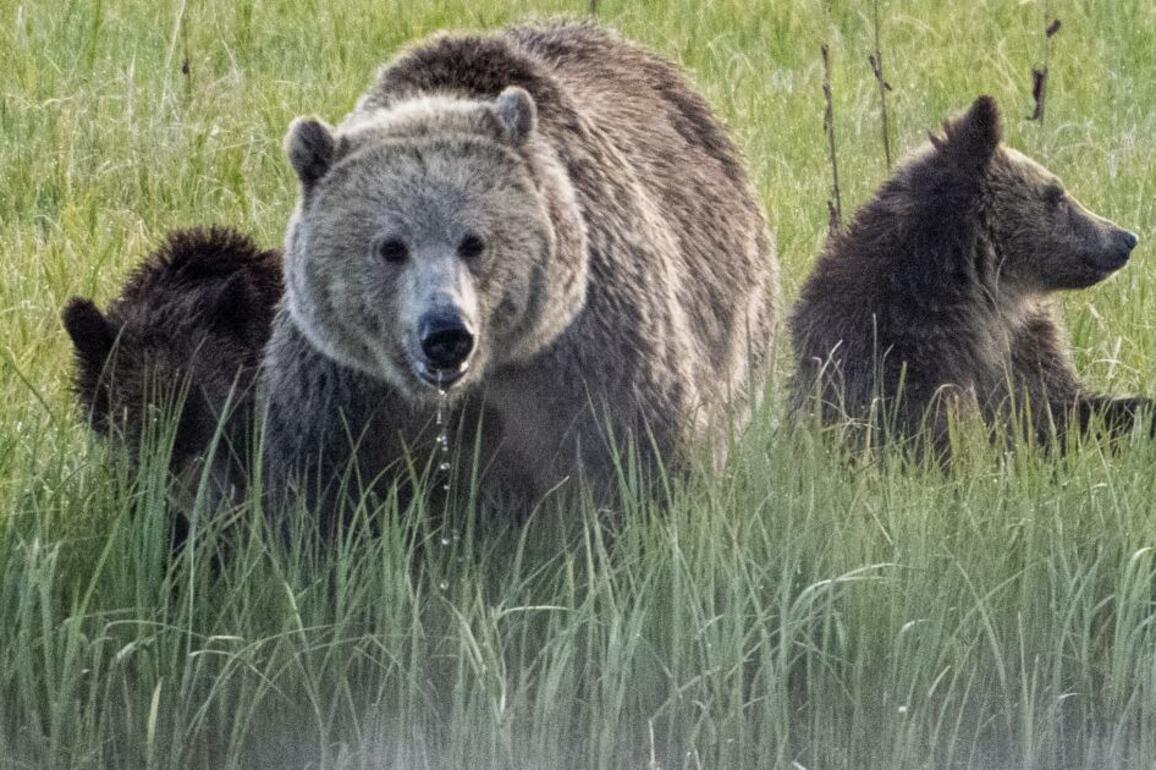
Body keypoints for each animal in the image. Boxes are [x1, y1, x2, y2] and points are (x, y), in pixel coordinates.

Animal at [261, 20, 779, 523]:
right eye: (391, 247)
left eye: (474, 241)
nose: (446, 333)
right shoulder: (345, 384)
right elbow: (320, 484)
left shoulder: (589, 350)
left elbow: (635, 455)